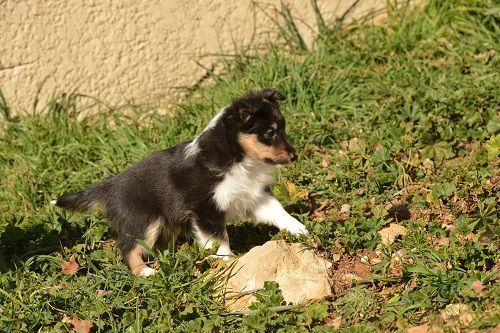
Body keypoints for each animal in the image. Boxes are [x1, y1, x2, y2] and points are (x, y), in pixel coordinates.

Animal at [51, 87, 308, 274]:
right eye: (269, 133)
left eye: (283, 128)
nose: (295, 156)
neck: (238, 159)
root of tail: (110, 185)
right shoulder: (205, 209)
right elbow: (220, 238)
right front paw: (227, 261)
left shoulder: (254, 195)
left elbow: (278, 212)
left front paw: (301, 231)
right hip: (144, 220)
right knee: (127, 247)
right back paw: (145, 273)